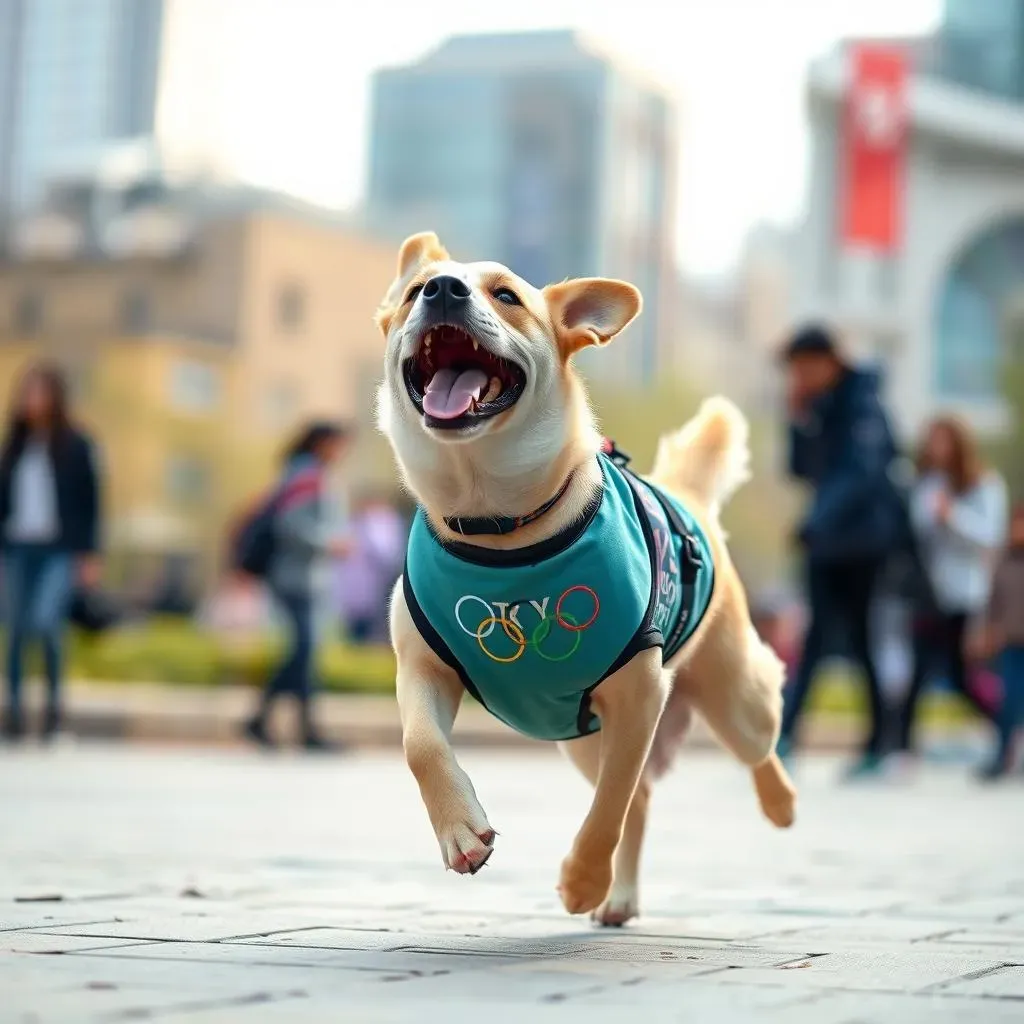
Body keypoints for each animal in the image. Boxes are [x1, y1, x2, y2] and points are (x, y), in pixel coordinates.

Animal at [378, 234, 798, 929]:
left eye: (506, 295)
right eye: (415, 293)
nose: (442, 291)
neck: (498, 525)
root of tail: (685, 496)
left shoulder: (637, 693)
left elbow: (609, 808)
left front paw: (580, 880)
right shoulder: (422, 665)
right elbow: (420, 746)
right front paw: (461, 831)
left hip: (733, 695)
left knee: (754, 733)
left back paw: (778, 802)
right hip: (573, 734)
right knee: (642, 798)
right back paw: (620, 897)